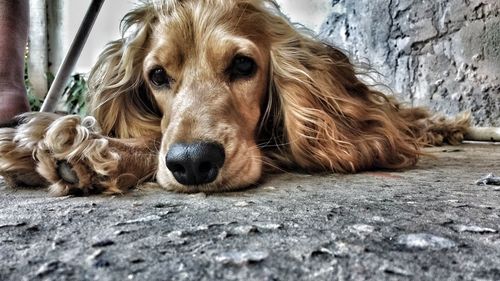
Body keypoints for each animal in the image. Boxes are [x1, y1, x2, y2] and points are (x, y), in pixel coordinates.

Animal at [0, 0, 468, 196]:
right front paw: (49, 144)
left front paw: (87, 149)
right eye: (157, 76)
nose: (193, 163)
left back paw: (446, 127)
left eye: (243, 66)